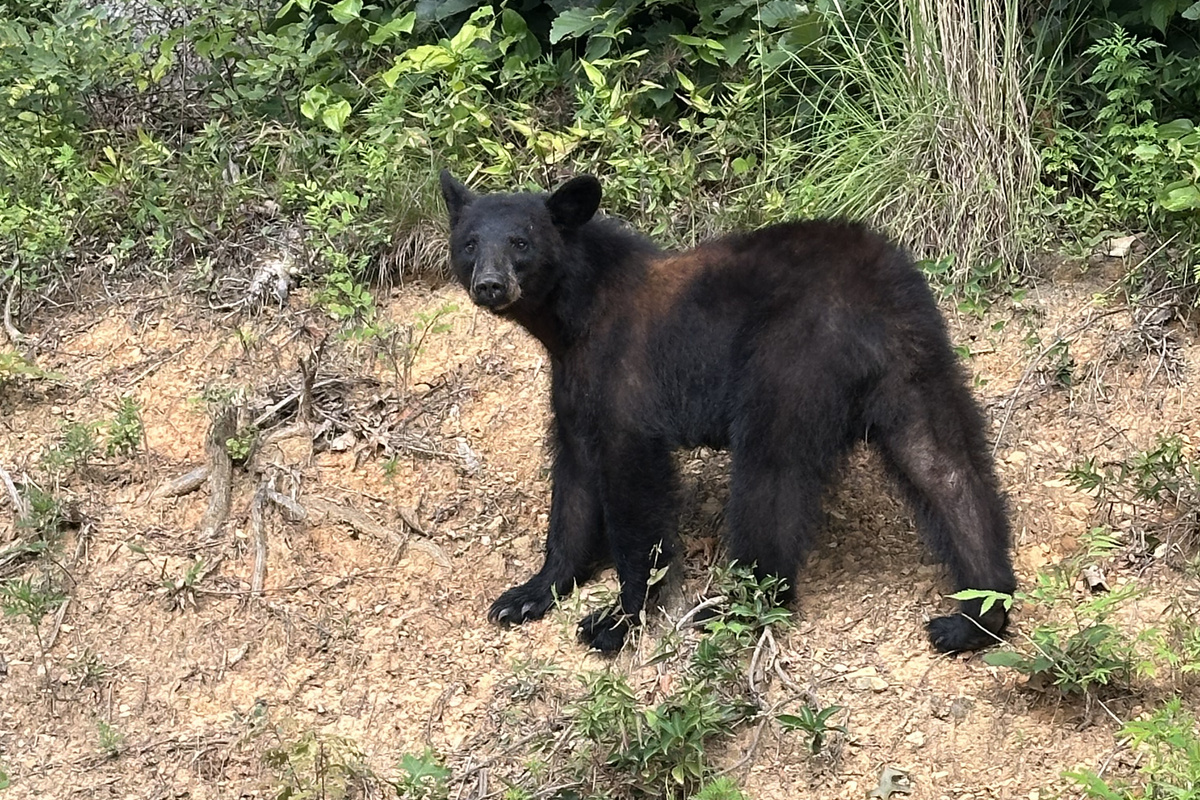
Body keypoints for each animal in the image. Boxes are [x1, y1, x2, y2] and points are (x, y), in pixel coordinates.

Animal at [439, 169, 1017, 654]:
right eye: (469, 244)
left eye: (521, 242)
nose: (490, 284)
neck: (576, 319)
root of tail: (877, 296)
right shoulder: (576, 390)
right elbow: (574, 482)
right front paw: (529, 593)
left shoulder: (625, 375)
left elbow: (634, 491)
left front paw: (618, 619)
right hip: (916, 366)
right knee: (946, 468)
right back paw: (977, 614)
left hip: (792, 360)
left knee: (771, 480)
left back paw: (734, 603)